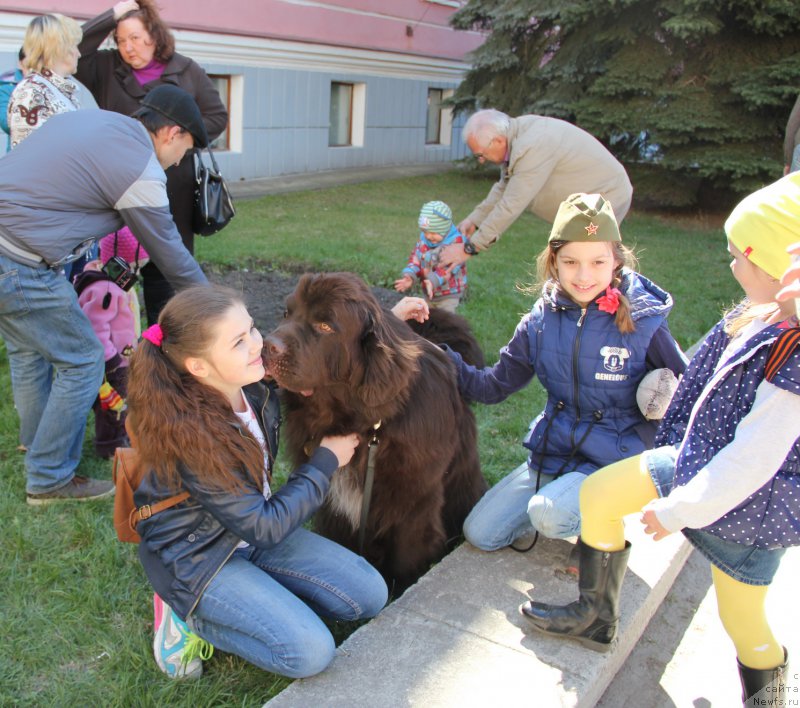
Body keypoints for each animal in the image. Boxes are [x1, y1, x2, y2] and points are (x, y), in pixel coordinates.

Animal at [264, 272, 488, 592]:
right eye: (287, 313)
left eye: (325, 325)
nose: (266, 345)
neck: (362, 423)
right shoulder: (334, 502)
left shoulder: (414, 504)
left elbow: (406, 557)